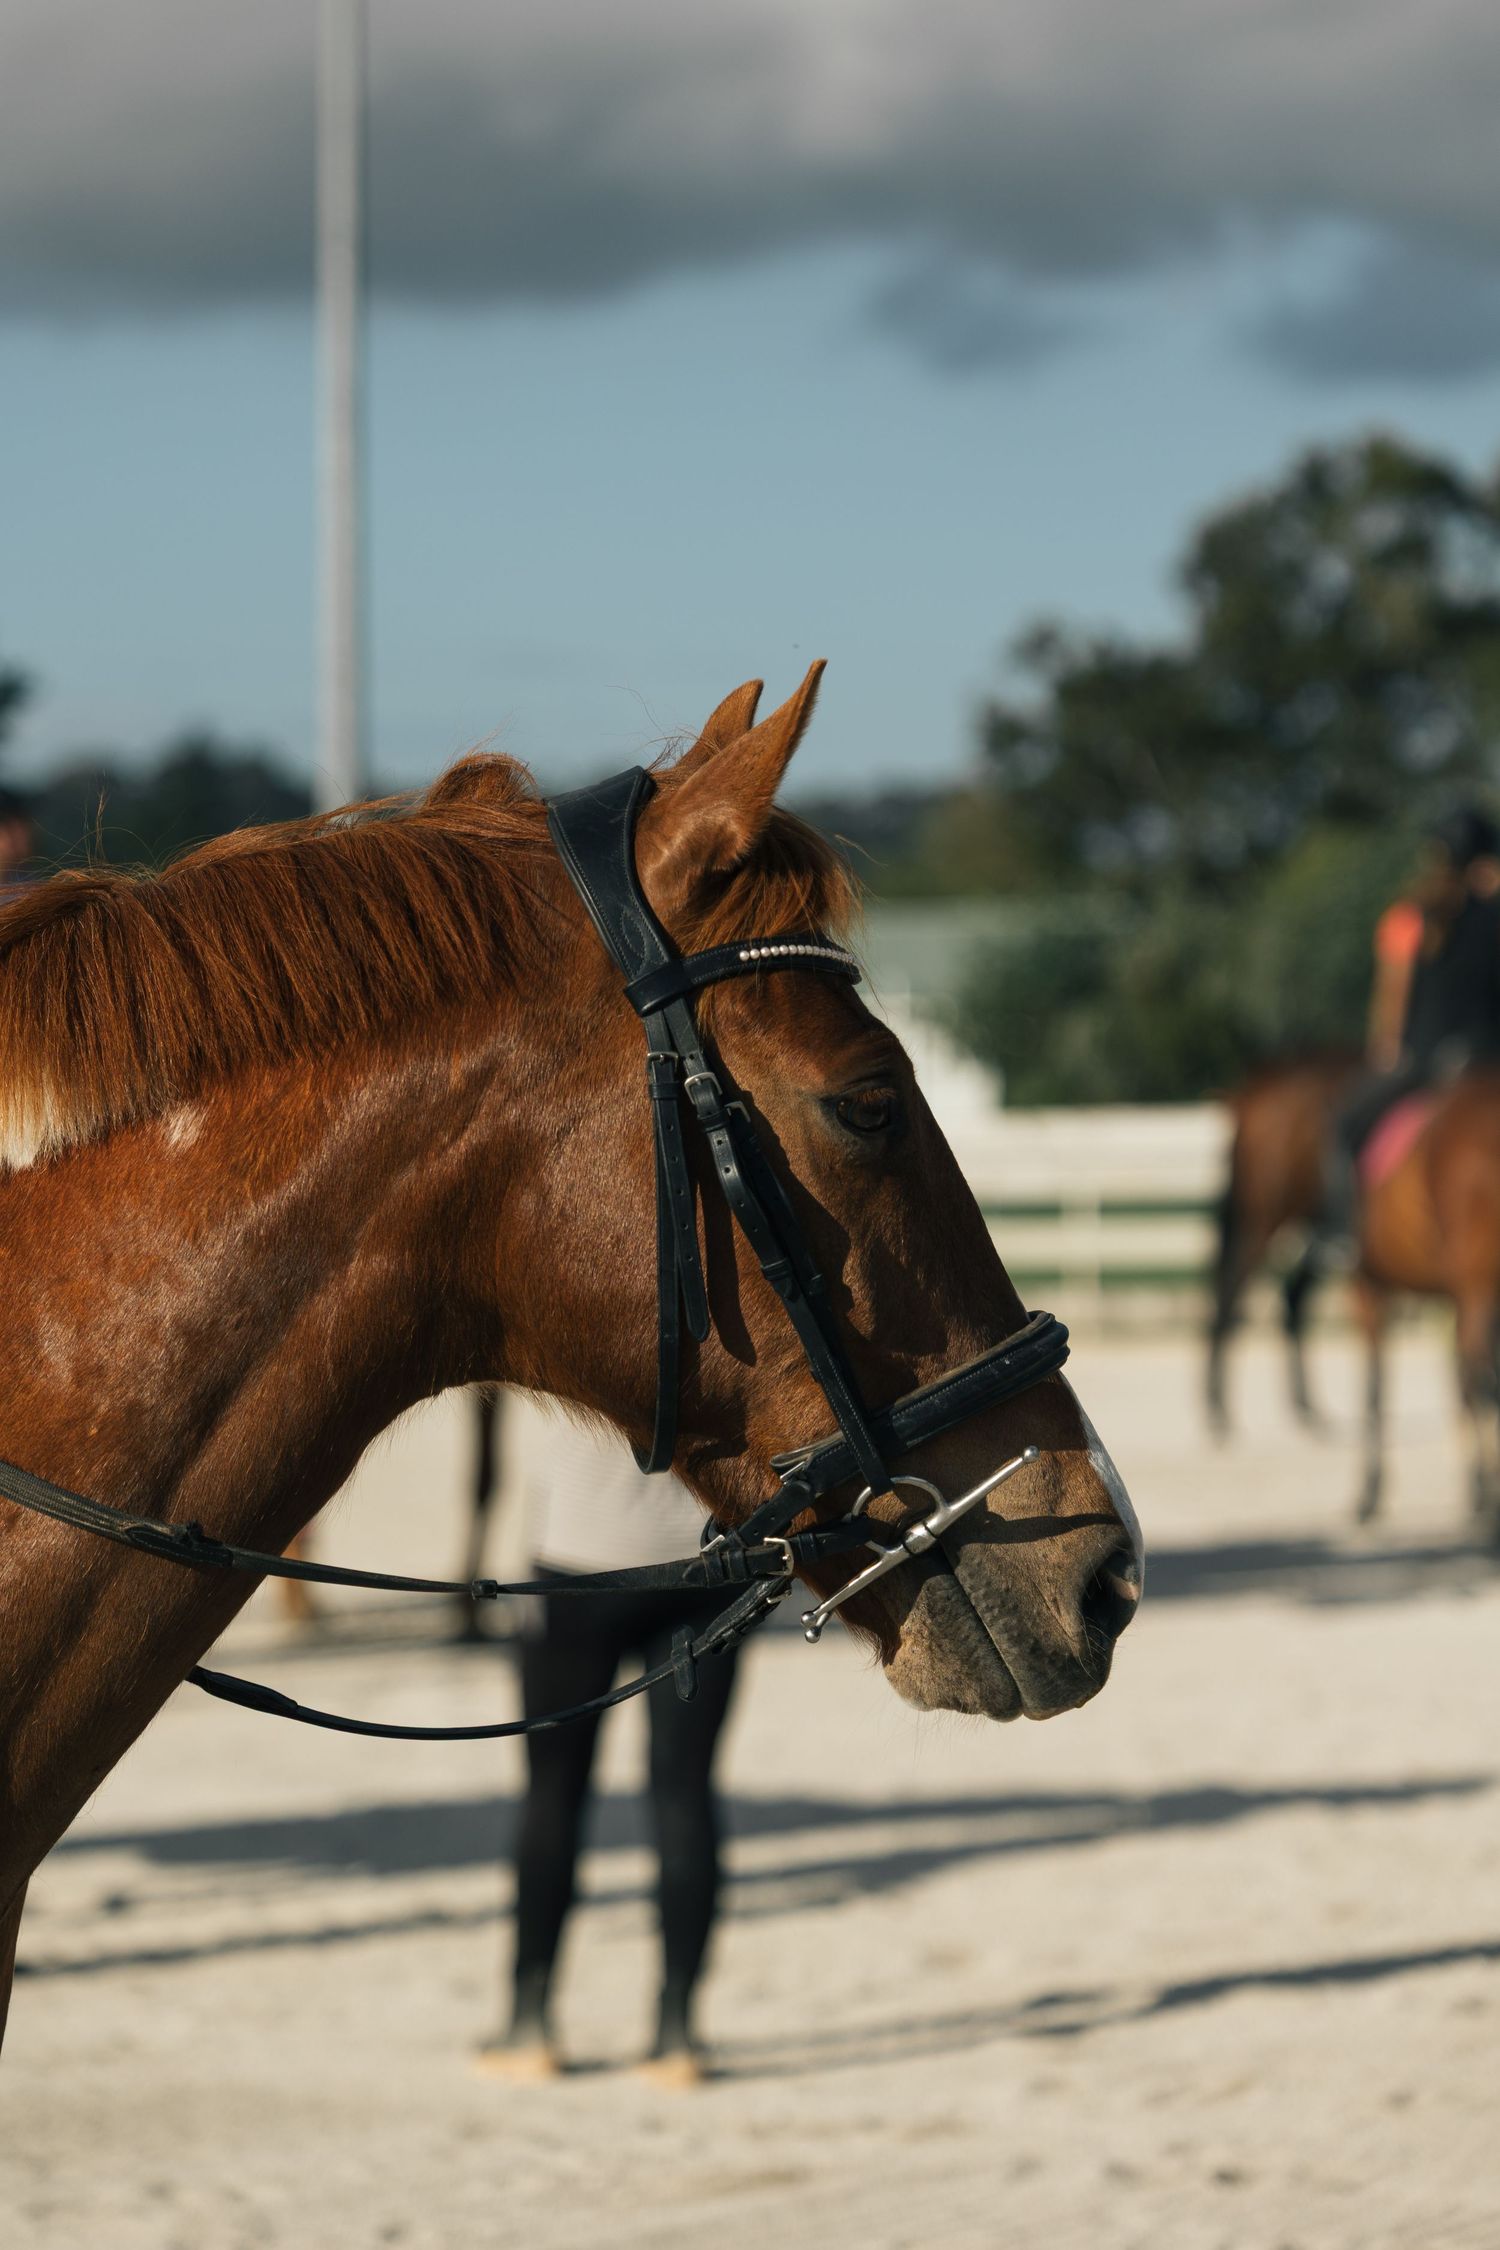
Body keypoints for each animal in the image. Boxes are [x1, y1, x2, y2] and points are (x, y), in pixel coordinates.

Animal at [1207, 1050, 1500, 1530]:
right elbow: (1398, 1383)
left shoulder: (1378, 1286)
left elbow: (1380, 1384)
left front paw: (1372, 1492)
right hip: (1271, 1217)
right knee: (1247, 1296)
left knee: (1258, 1296)